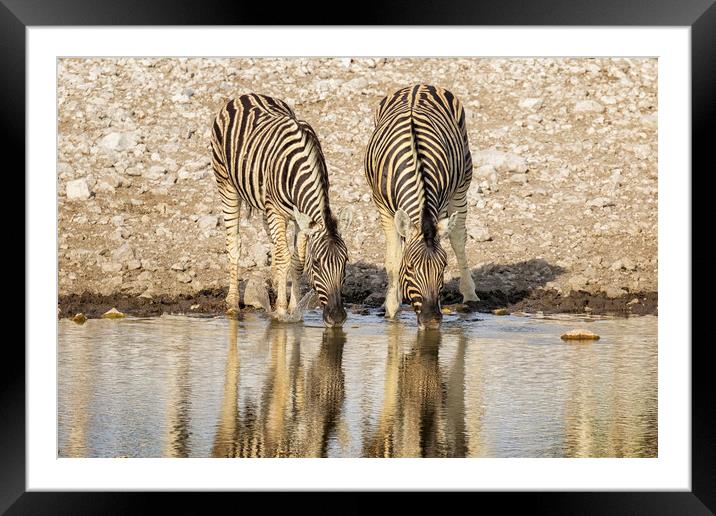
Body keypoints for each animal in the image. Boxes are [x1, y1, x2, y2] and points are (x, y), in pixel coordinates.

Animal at [208, 92, 352, 326]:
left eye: (345, 262)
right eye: (317, 264)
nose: (337, 317)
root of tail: (246, 94)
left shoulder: (300, 218)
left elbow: (296, 260)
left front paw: (292, 307)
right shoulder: (277, 211)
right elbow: (286, 257)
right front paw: (282, 311)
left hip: (266, 204)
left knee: (274, 244)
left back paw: (276, 286)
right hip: (226, 184)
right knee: (234, 244)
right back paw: (233, 302)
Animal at [366, 83, 478, 326]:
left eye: (443, 267)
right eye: (410, 267)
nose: (431, 320)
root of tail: (419, 85)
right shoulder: (382, 208)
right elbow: (393, 260)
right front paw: (391, 307)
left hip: (462, 183)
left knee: (458, 238)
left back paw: (470, 294)